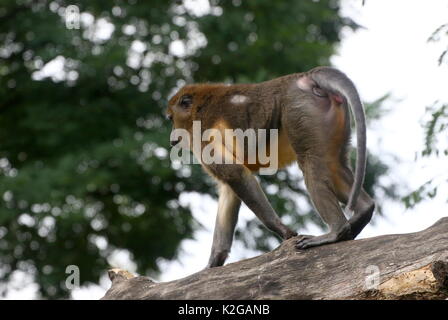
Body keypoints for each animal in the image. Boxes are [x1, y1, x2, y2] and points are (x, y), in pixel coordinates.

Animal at [164, 67, 374, 268]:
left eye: (171, 119)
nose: (172, 138)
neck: (198, 108)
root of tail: (304, 77)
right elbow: (230, 189)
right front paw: (215, 261)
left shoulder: (202, 135)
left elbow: (235, 174)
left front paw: (283, 230)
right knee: (334, 164)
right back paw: (363, 211)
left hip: (299, 108)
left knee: (310, 161)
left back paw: (337, 231)